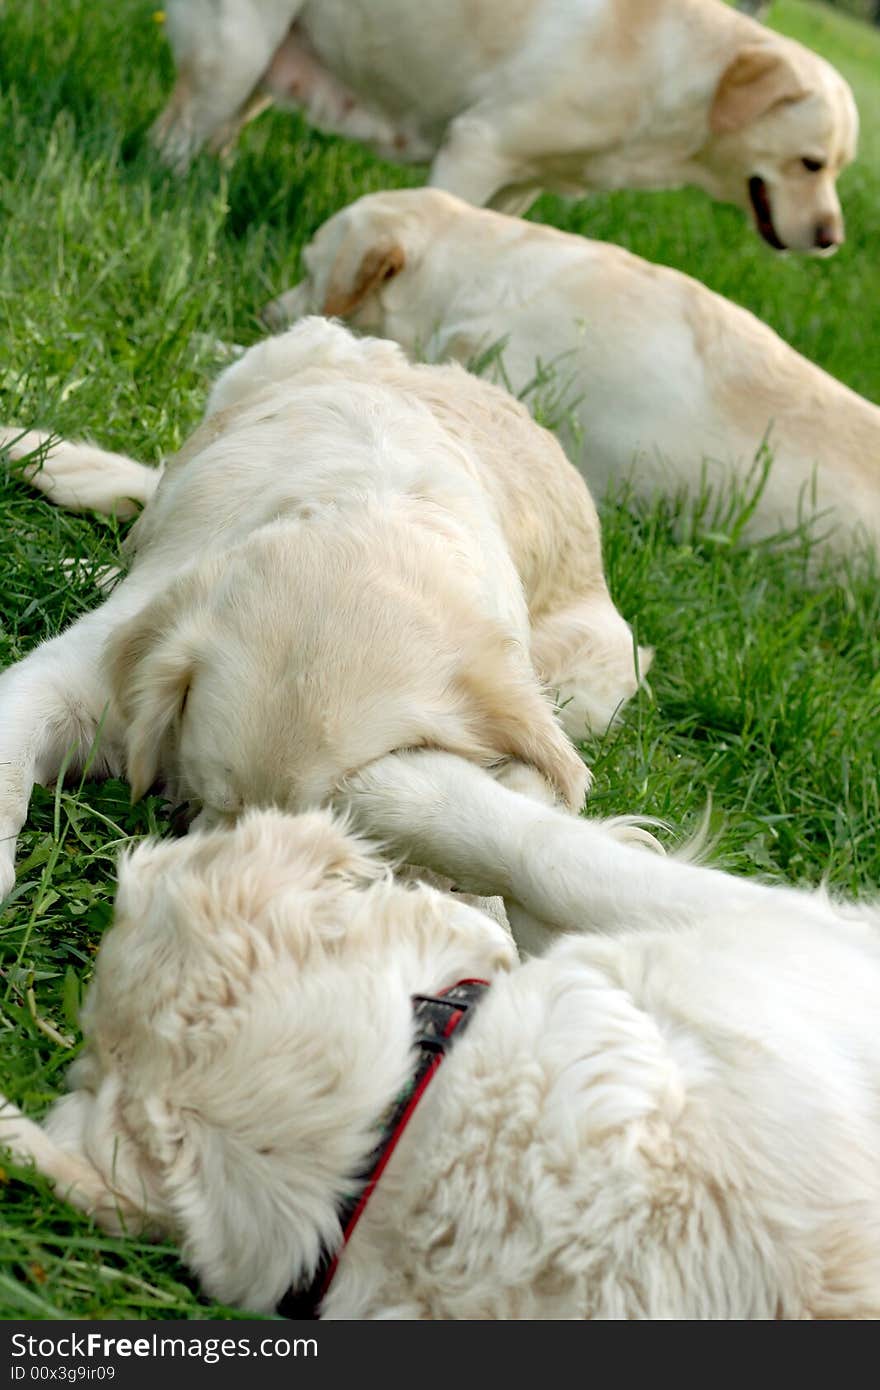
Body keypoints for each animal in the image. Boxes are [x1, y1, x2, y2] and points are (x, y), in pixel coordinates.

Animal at [154, 0, 856, 252]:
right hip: (233, 48)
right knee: (174, 138)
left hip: (263, 65)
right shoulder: (479, 148)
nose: (830, 239)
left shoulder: (521, 185)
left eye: (838, 168)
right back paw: (176, 200)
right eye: (811, 163)